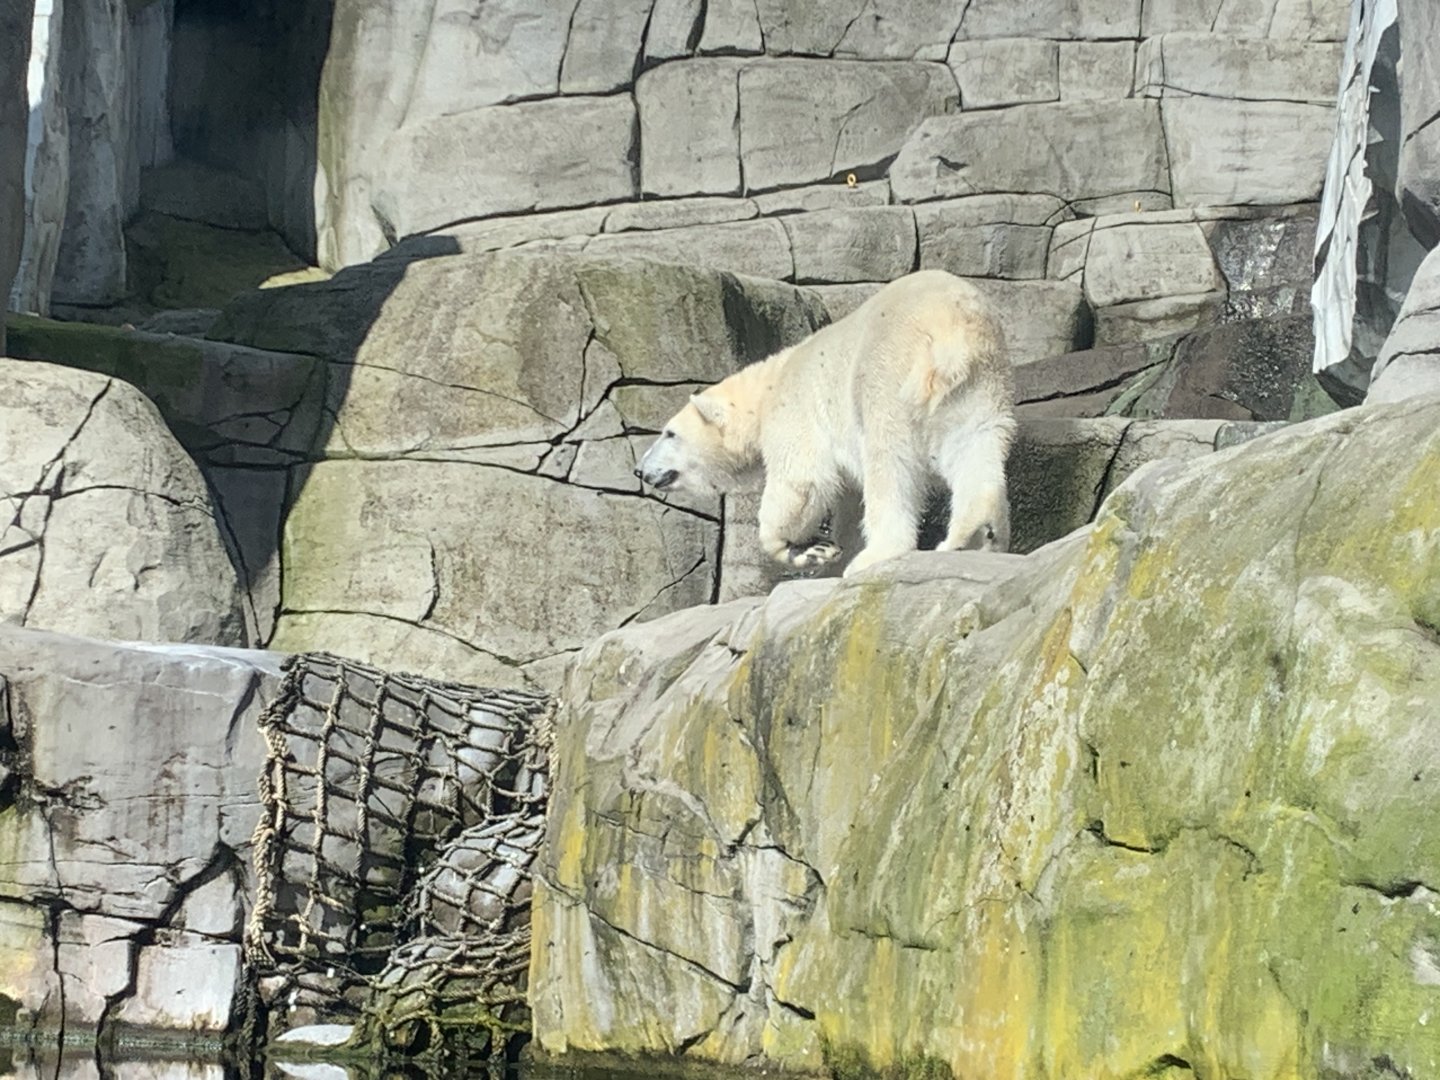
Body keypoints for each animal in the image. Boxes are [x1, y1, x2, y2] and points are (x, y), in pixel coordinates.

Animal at [634, 269, 1016, 578]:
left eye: (669, 433)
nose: (640, 469)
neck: (769, 384)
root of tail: (951, 327)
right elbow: (845, 496)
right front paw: (828, 549)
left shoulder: (795, 409)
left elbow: (802, 480)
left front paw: (802, 547)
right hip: (980, 383)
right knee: (976, 445)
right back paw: (975, 535)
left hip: (888, 376)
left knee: (889, 464)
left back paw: (876, 555)